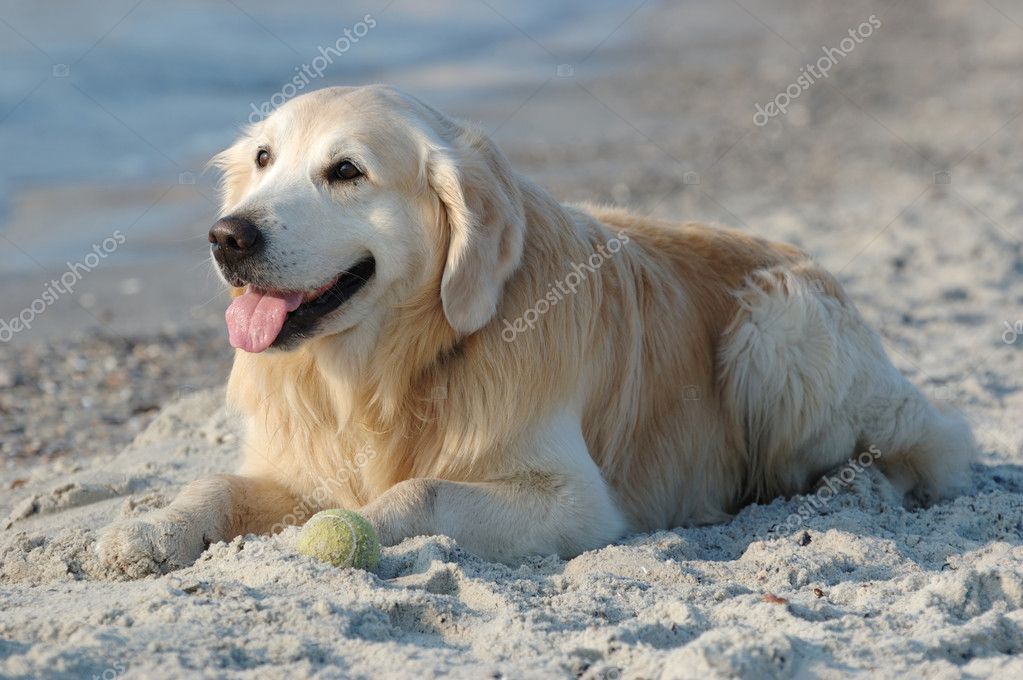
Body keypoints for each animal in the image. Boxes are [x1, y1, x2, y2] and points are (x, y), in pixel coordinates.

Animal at [97, 82, 973, 576]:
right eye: (262, 159)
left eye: (345, 172)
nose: (226, 236)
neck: (385, 373)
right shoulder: (297, 461)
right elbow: (213, 484)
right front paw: (146, 529)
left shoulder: (576, 503)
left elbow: (417, 489)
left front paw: (352, 527)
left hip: (775, 327)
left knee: (915, 452)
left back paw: (849, 489)